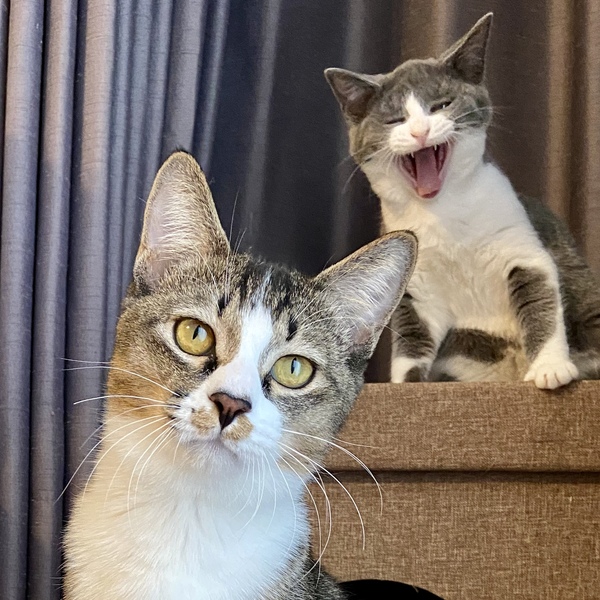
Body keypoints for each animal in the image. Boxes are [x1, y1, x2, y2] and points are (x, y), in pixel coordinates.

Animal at [325, 13, 600, 389]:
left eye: (441, 105)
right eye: (395, 119)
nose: (420, 131)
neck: (444, 212)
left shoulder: (523, 249)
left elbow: (540, 303)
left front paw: (549, 367)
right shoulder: (419, 286)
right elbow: (412, 340)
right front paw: (406, 386)